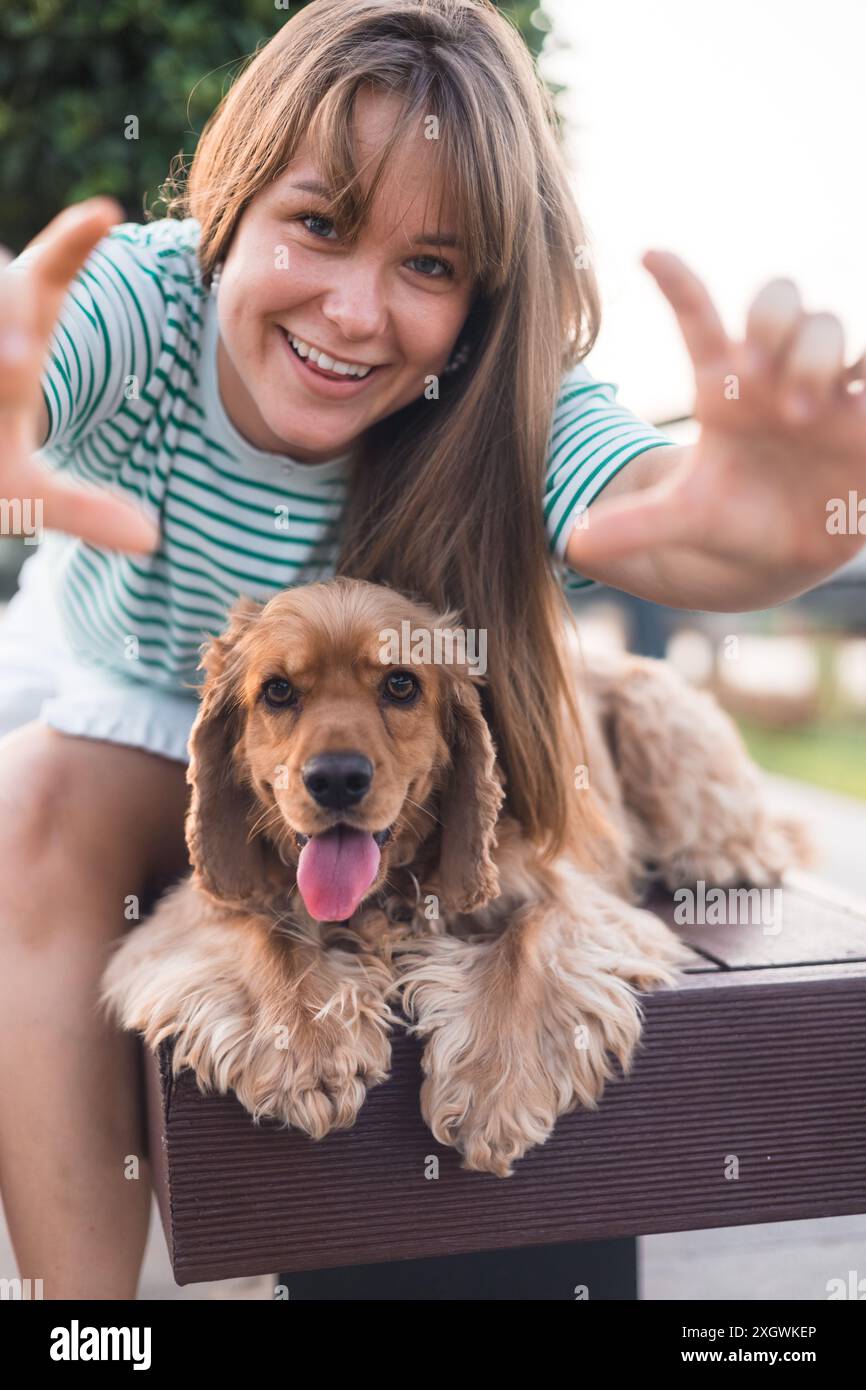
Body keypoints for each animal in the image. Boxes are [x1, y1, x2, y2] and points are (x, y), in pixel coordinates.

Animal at [100, 575, 806, 1173]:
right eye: (278, 691)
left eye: (400, 685)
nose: (336, 778)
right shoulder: (196, 911)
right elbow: (266, 938)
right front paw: (307, 1047)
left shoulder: (570, 896)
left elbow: (529, 946)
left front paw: (494, 1088)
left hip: (658, 714)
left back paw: (727, 858)